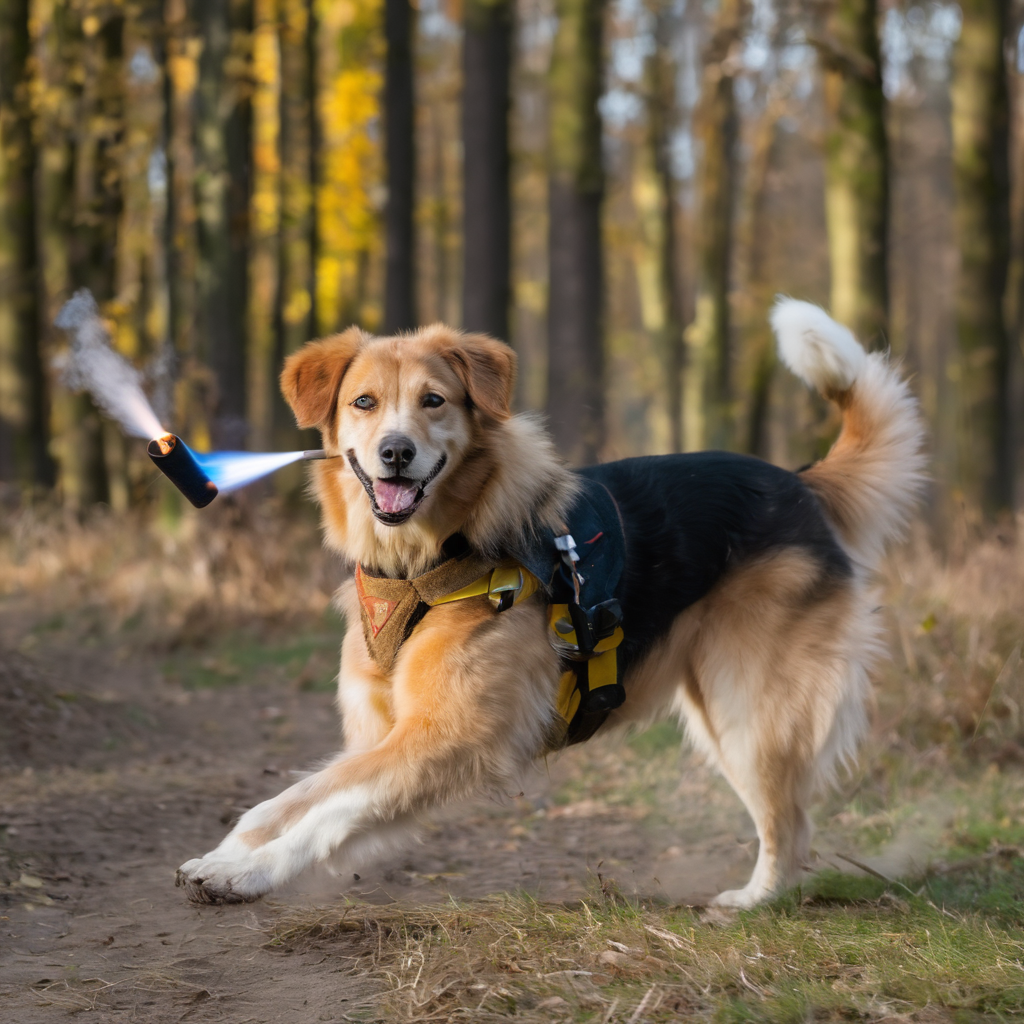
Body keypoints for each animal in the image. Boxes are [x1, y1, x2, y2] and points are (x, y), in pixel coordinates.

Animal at [176, 299, 929, 909]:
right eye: (363, 402)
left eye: (433, 401)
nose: (395, 452)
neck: (423, 563)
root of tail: (801, 483)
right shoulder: (383, 737)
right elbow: (286, 801)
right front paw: (228, 853)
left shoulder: (448, 737)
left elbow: (328, 813)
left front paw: (249, 874)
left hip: (751, 707)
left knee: (789, 824)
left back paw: (753, 902)